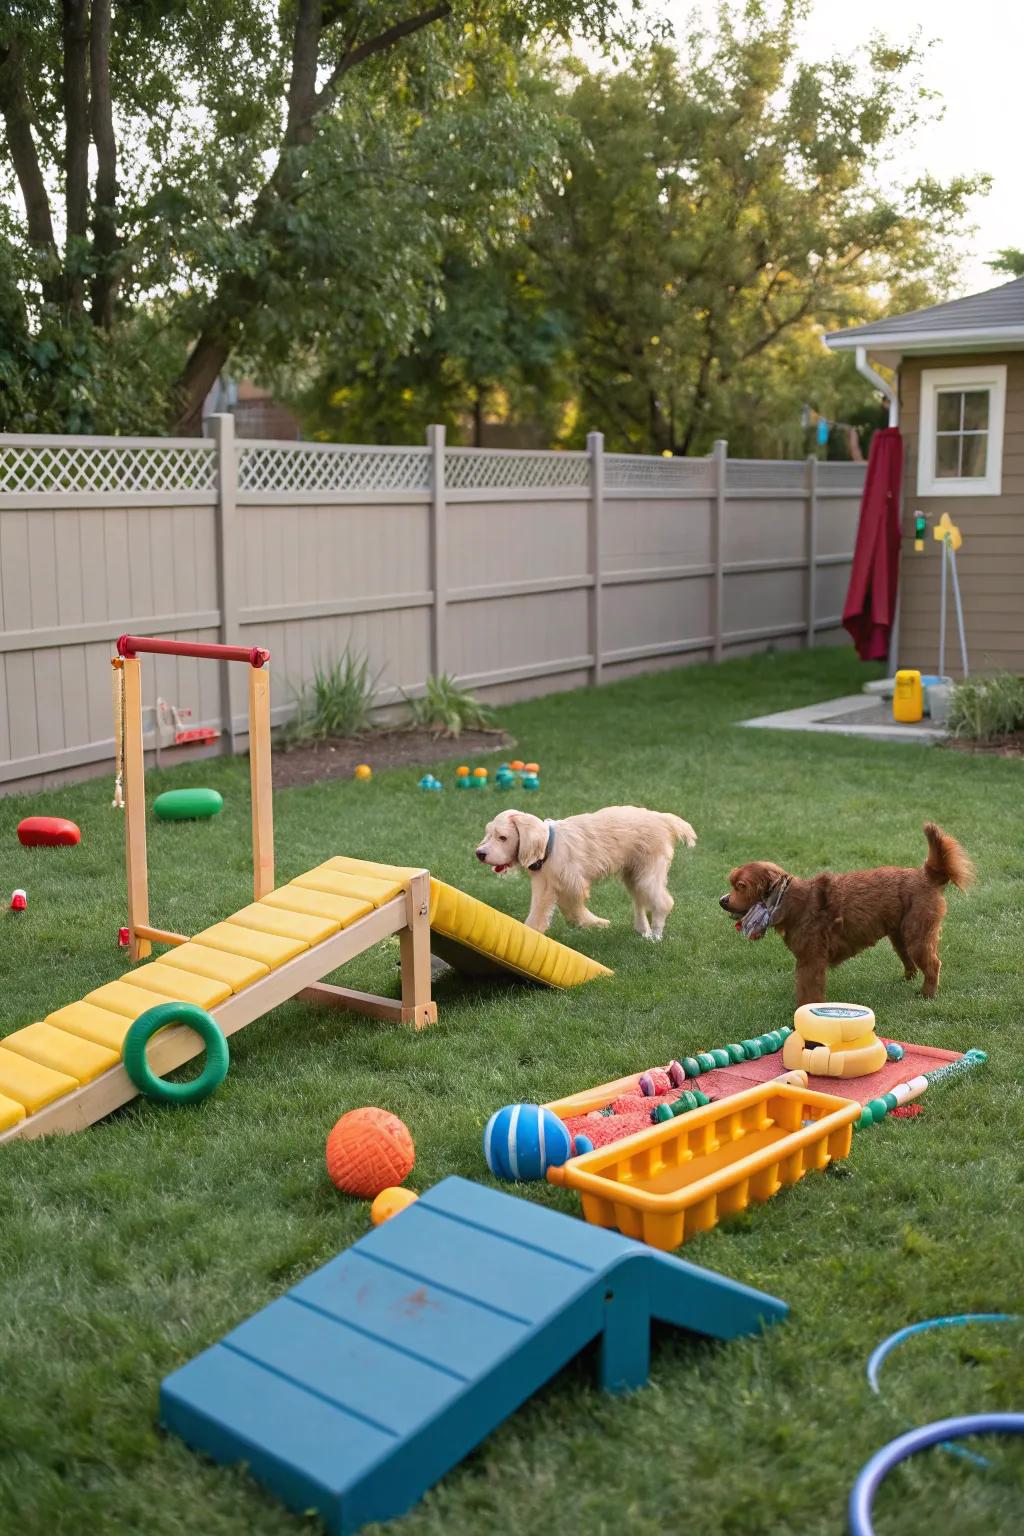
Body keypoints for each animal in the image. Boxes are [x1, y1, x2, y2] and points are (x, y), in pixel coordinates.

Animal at [475, 811, 700, 940]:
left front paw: (593, 923)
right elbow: (539, 915)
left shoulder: (572, 885)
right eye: (488, 834)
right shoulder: (544, 885)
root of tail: (663, 818)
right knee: (641, 902)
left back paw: (656, 935)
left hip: (648, 873)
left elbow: (573, 910)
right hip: (634, 874)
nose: (479, 853)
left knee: (664, 902)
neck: (549, 845)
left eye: (503, 837)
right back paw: (643, 930)